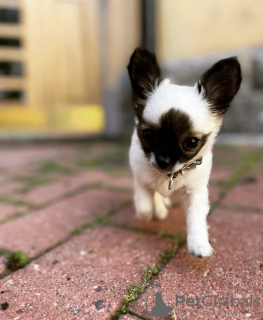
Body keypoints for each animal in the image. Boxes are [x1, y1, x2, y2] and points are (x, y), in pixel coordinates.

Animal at [128, 47, 243, 258]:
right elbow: (144, 207)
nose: (163, 161)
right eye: (147, 135)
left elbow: (196, 217)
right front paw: (153, 211)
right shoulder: (140, 180)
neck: (170, 176)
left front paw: (199, 244)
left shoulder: (195, 191)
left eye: (191, 143)